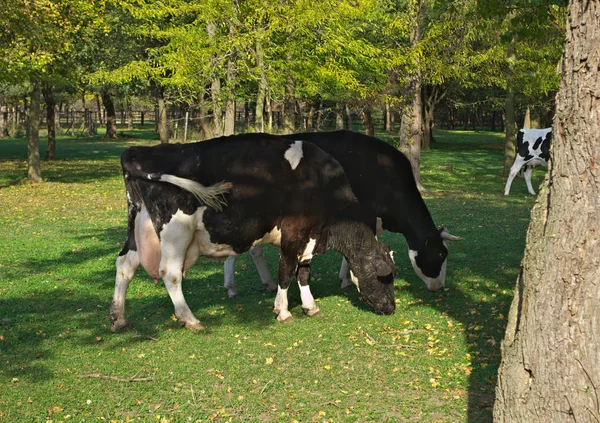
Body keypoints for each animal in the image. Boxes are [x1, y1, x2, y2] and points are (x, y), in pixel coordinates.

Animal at [110, 132, 396, 332]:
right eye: (385, 277)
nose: (391, 308)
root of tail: (140, 151)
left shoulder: (309, 238)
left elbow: (304, 272)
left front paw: (310, 306)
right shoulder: (293, 234)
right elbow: (286, 272)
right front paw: (283, 310)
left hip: (138, 227)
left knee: (125, 265)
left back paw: (119, 317)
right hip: (175, 232)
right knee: (170, 273)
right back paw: (190, 319)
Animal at [223, 129, 462, 298]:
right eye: (440, 255)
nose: (440, 287)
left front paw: (345, 279)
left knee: (252, 249)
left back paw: (262, 283)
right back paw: (235, 286)